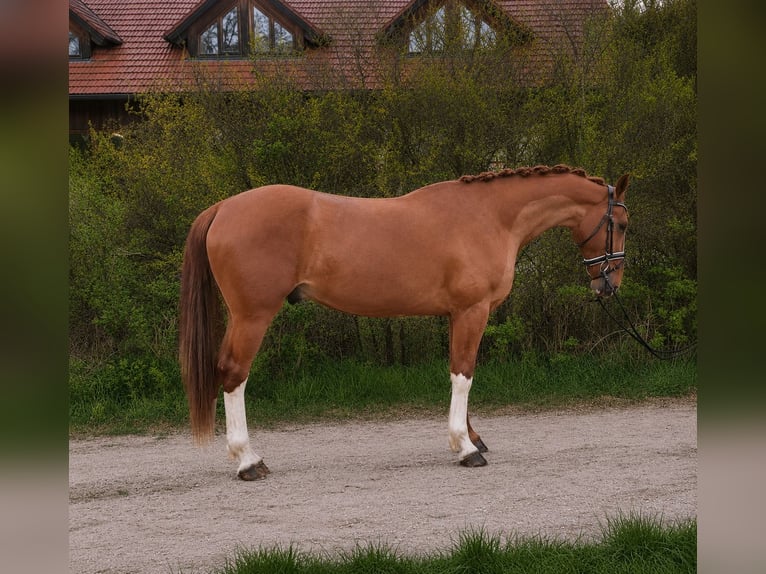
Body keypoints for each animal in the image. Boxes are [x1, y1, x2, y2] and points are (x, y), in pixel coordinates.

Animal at [179, 164, 629, 480]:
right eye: (621, 224)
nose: (610, 284)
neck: (489, 217)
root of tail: (223, 208)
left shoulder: (458, 315)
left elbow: (458, 373)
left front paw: (471, 439)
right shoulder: (474, 310)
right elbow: (465, 375)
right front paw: (466, 449)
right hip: (252, 316)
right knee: (233, 374)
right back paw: (248, 461)